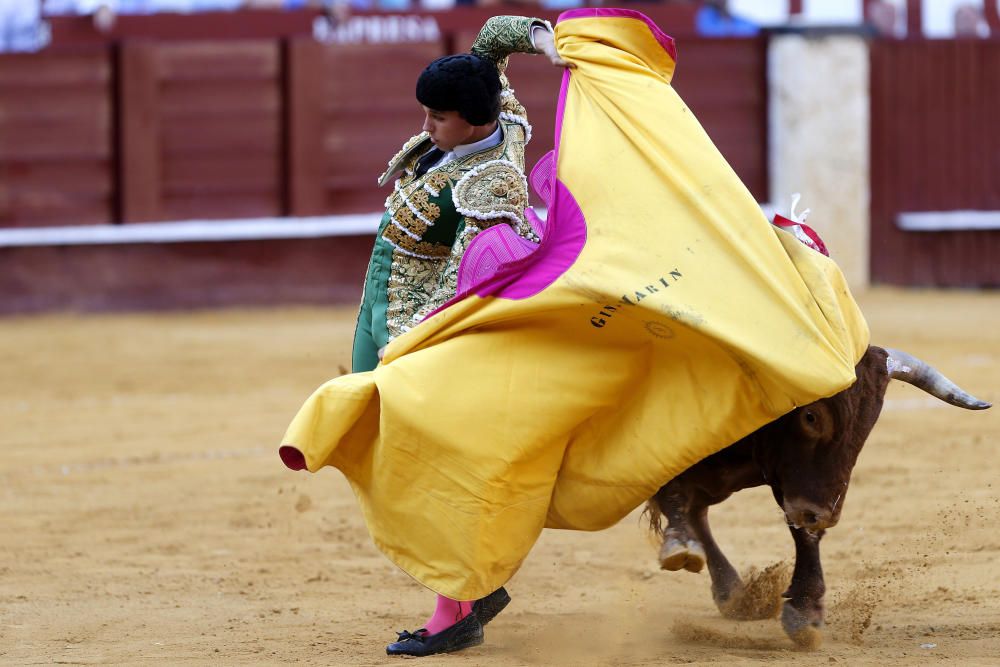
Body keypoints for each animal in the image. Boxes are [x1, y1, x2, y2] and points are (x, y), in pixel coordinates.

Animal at [644, 348, 988, 648]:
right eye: (810, 416)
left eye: (869, 423)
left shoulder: (788, 482)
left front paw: (805, 611)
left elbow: (803, 531)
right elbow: (671, 492)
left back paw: (734, 594)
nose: (826, 516)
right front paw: (680, 545)